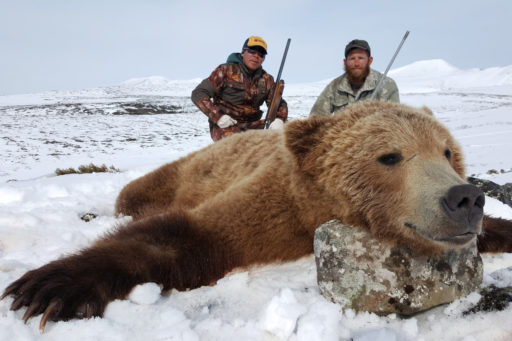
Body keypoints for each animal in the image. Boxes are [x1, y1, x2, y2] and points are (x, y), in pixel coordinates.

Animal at [1, 101, 512, 330]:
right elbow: (186, 237)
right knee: (134, 194)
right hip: (177, 173)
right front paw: (48, 287)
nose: (465, 197)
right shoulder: (274, 207)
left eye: (447, 152)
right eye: (390, 156)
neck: (315, 207)